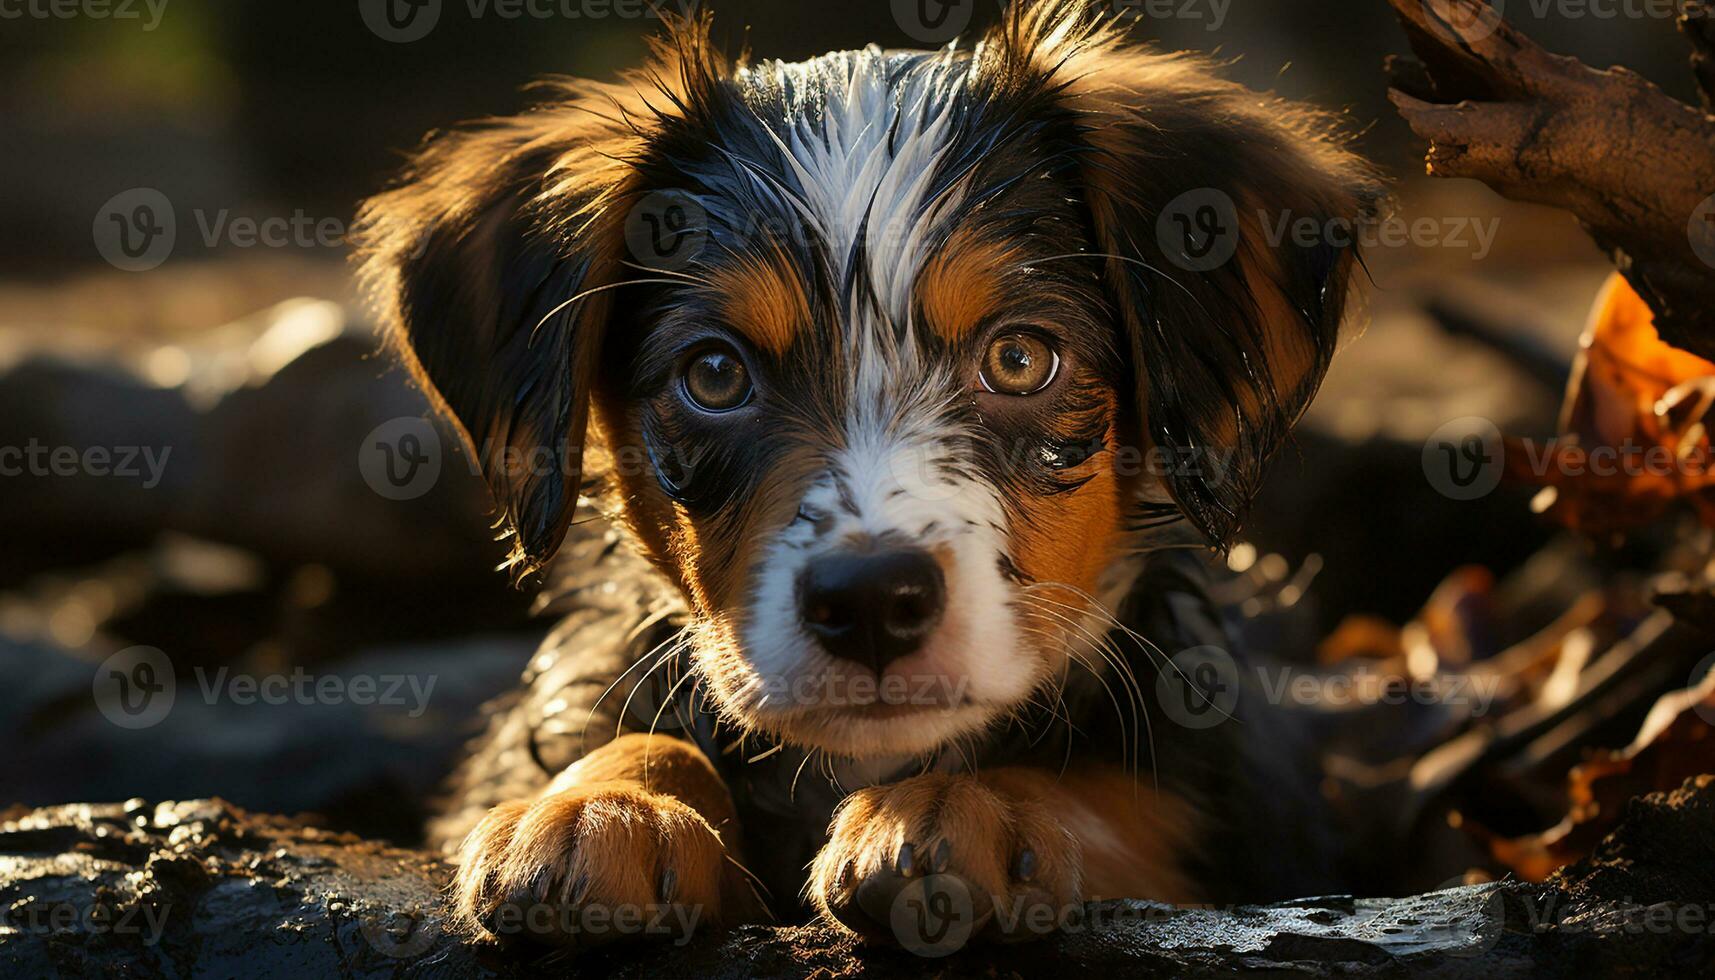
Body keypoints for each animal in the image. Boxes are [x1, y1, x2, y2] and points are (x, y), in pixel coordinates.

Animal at [358, 0, 1378, 954]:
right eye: (714, 374)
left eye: (1019, 358)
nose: (873, 602)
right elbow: (628, 733)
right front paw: (603, 808)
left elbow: (1112, 799)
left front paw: (970, 805)